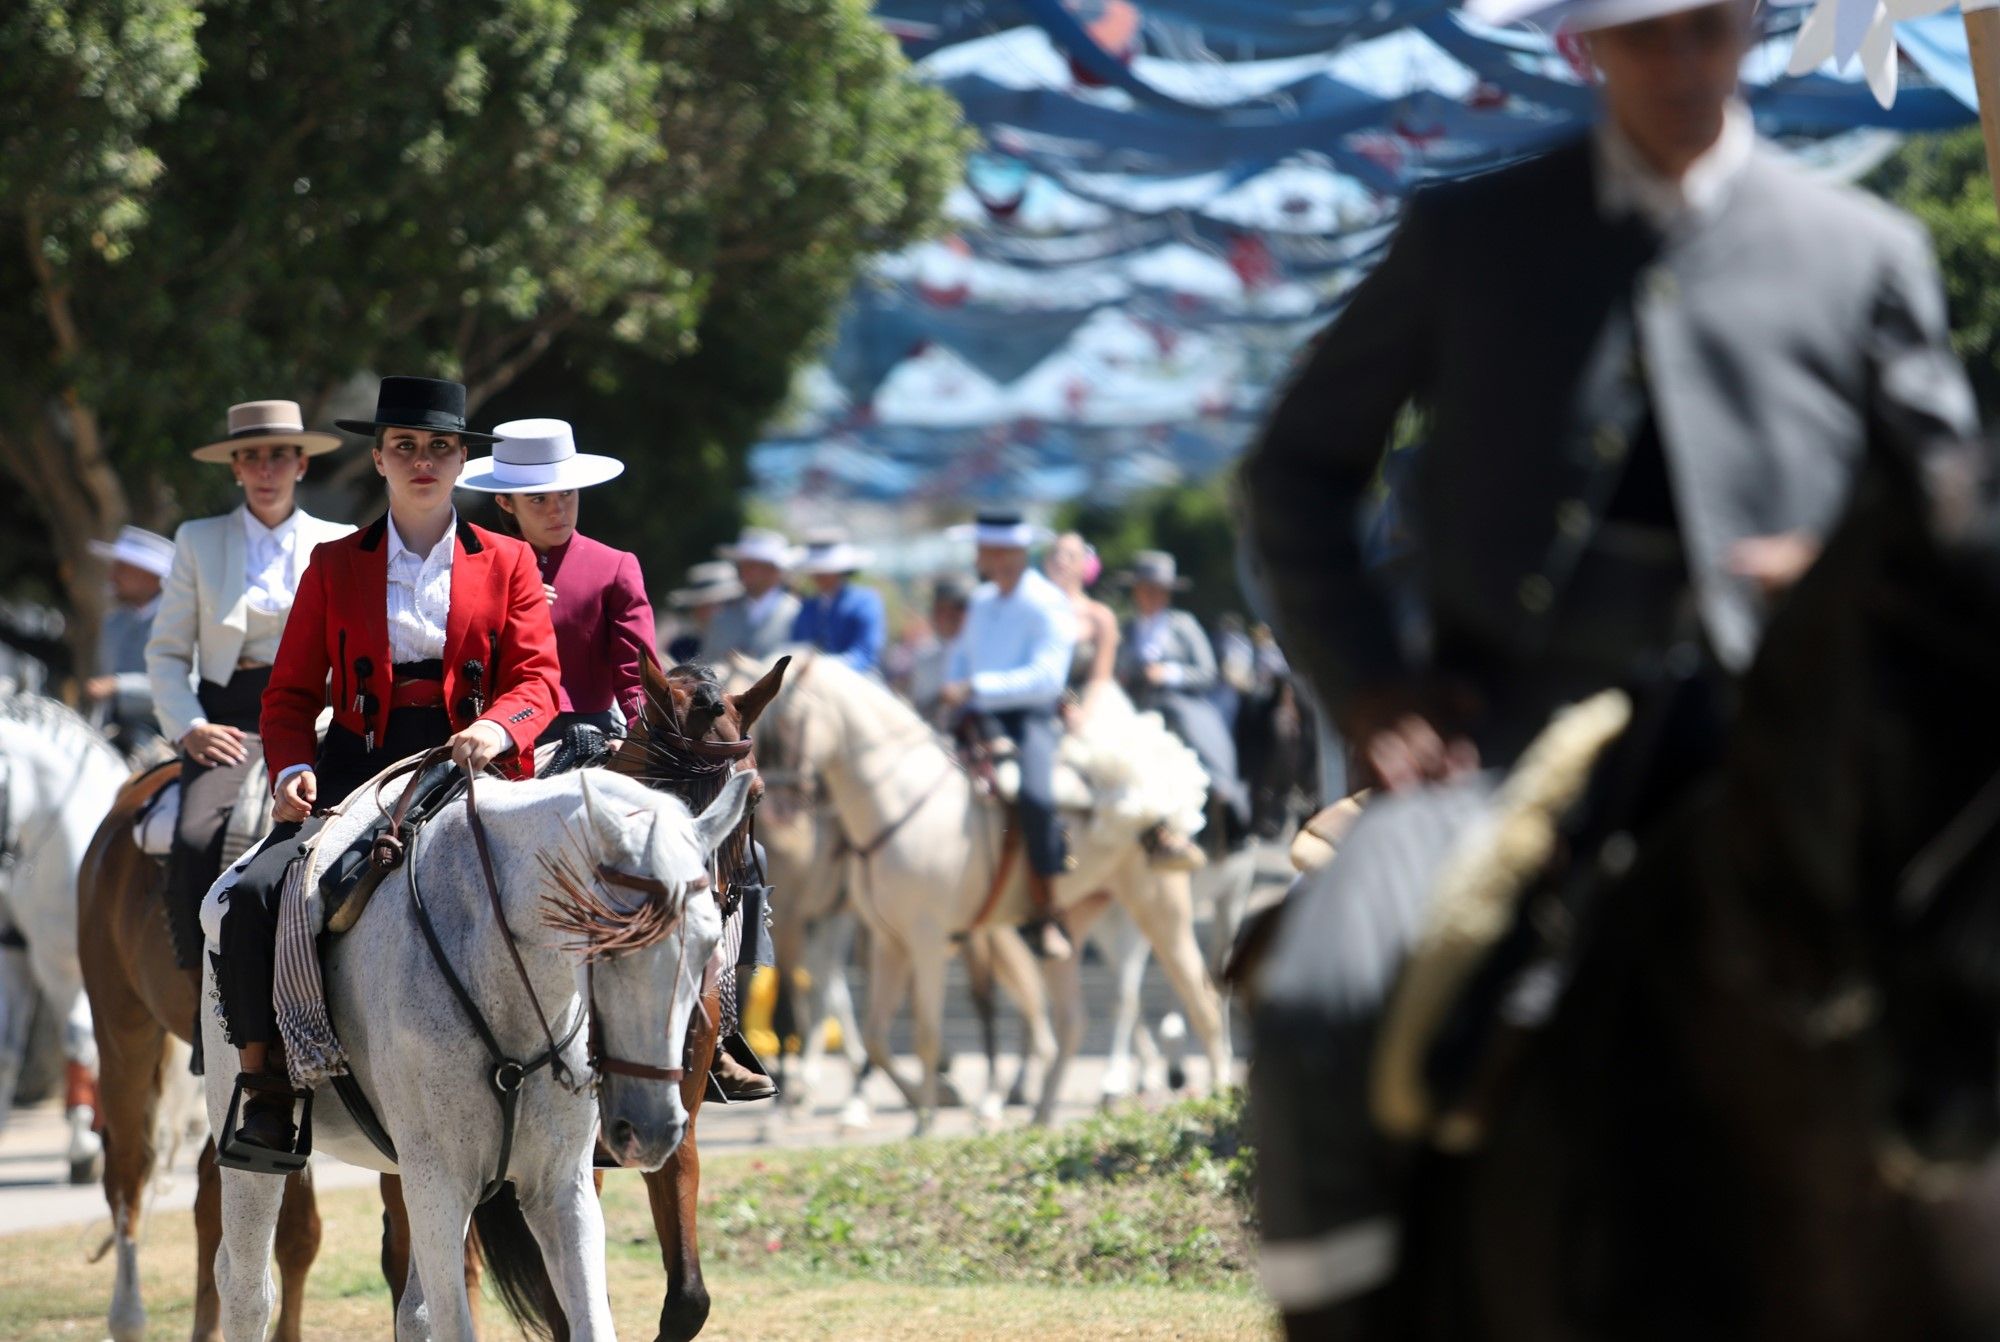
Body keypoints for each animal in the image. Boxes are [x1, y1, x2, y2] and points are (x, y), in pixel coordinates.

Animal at [203, 768, 752, 1342]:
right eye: (614, 941)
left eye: (709, 942)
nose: (652, 1129)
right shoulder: (441, 1185)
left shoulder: (562, 1188)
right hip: (261, 1162)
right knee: (247, 1292)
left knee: (413, 1309)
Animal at [740, 652, 1224, 1136]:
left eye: (784, 725)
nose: (777, 814)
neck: (901, 801)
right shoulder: (887, 942)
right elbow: (877, 1036)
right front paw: (920, 1101)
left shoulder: (927, 940)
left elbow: (926, 1033)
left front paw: (925, 1122)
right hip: (1073, 925)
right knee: (1072, 1020)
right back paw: (1041, 1114)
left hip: (1159, 911)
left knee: (1202, 1002)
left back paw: (1215, 1096)